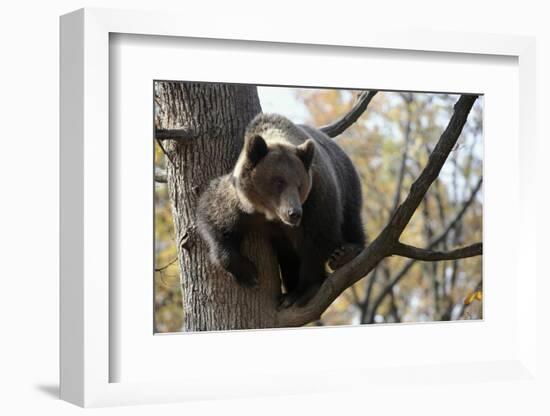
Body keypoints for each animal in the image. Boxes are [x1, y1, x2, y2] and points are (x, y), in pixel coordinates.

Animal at [197, 112, 366, 308]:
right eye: (279, 182)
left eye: (300, 185)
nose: (294, 213)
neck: (269, 213)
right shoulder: (240, 202)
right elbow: (215, 218)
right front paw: (248, 274)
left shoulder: (316, 198)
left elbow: (318, 238)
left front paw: (302, 291)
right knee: (288, 257)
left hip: (347, 182)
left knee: (351, 219)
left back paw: (346, 253)